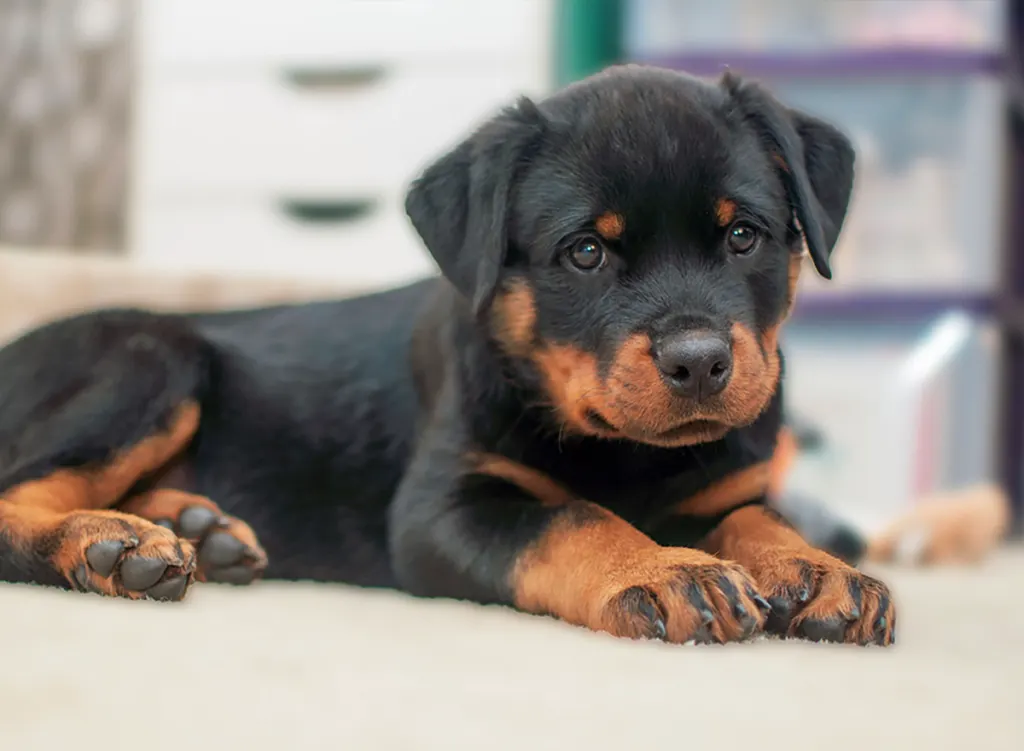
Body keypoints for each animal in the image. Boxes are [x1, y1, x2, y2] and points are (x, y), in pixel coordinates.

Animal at [0, 66, 897, 643]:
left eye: (743, 234)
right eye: (585, 252)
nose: (701, 361)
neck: (632, 455)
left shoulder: (727, 485)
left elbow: (757, 514)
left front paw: (817, 569)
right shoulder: (442, 508)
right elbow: (571, 517)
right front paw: (664, 569)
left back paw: (196, 526)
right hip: (150, 358)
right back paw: (111, 543)